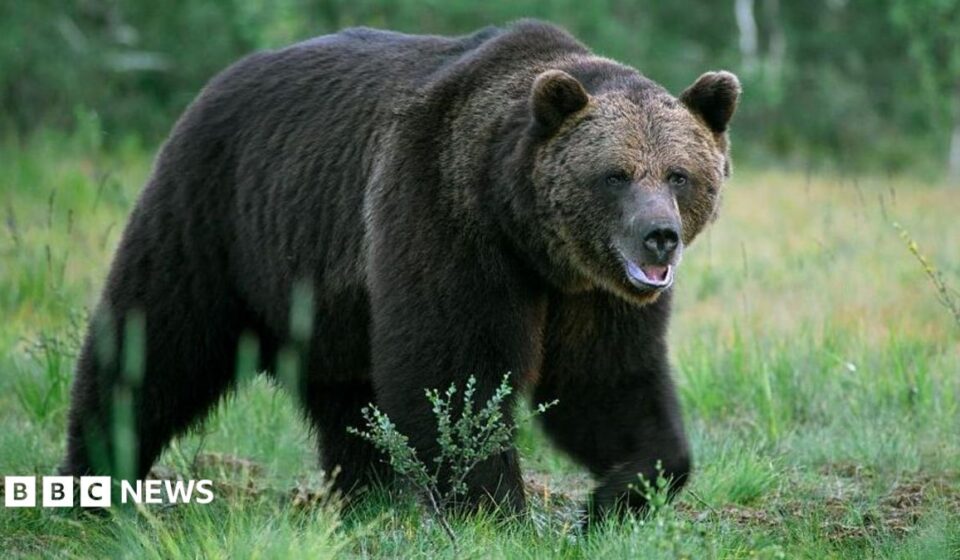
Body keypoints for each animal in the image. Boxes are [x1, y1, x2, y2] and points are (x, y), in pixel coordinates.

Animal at [62, 20, 740, 520]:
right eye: (616, 174)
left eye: (679, 174)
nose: (659, 238)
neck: (528, 235)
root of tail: (222, 77)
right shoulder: (445, 216)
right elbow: (452, 372)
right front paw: (494, 506)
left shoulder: (592, 293)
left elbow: (607, 381)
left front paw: (620, 495)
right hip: (214, 214)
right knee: (157, 341)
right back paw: (96, 478)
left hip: (324, 288)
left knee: (346, 396)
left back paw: (370, 495)